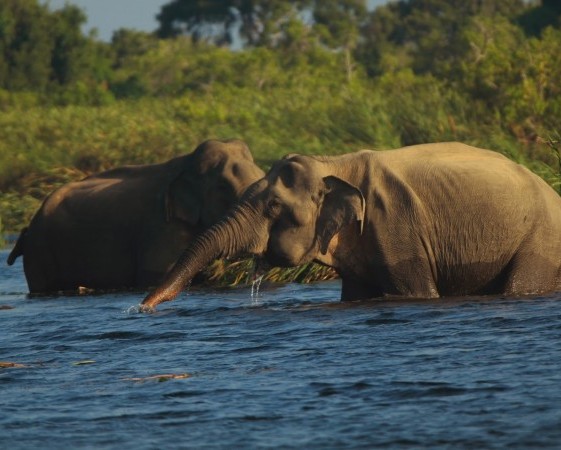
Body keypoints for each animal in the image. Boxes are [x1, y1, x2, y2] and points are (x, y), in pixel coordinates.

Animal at [141, 141, 561, 310]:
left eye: (274, 206)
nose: (141, 308)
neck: (334, 163)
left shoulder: (395, 222)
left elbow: (416, 292)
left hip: (540, 242)